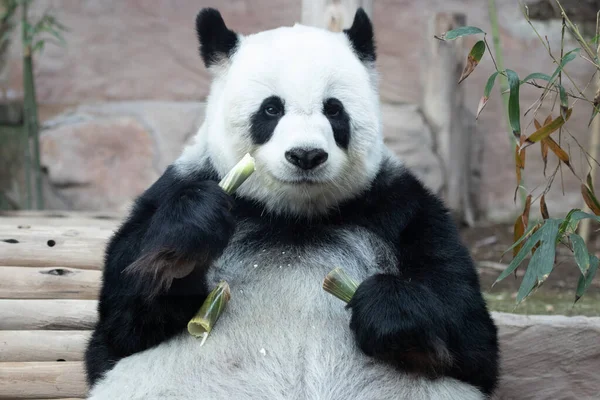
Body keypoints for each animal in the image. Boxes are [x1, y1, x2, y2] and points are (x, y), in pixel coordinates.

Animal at [83, 7, 496, 400]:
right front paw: (192, 230)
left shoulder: (400, 207)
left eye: (334, 109)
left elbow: (471, 335)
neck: (294, 216)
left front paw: (385, 307)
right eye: (271, 109)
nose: (306, 155)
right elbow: (120, 327)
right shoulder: (177, 188)